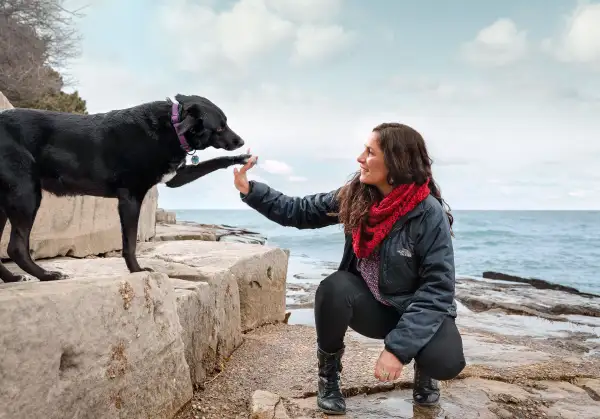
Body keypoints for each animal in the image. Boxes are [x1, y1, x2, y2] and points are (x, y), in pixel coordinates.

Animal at [0, 94, 248, 284]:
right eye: (220, 126)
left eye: (226, 123)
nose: (241, 141)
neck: (172, 125)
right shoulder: (131, 198)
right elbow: (129, 243)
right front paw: (137, 271)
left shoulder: (176, 177)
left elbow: (213, 163)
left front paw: (240, 159)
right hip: (27, 194)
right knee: (16, 248)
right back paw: (46, 275)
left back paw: (13, 279)